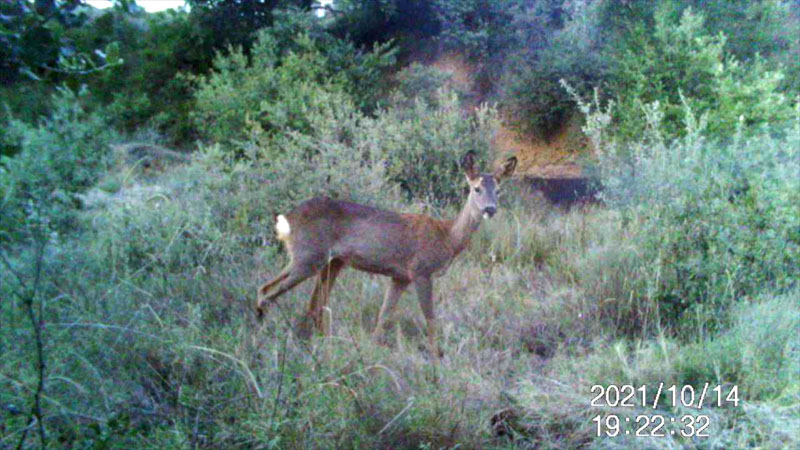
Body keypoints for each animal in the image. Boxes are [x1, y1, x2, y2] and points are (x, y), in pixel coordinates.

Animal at [258, 151, 520, 356]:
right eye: (476, 188)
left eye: (499, 190)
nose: (490, 209)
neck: (447, 237)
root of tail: (287, 218)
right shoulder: (421, 271)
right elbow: (430, 318)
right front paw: (437, 359)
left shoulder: (400, 276)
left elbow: (384, 316)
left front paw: (371, 351)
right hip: (308, 255)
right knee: (267, 291)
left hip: (332, 262)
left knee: (311, 304)